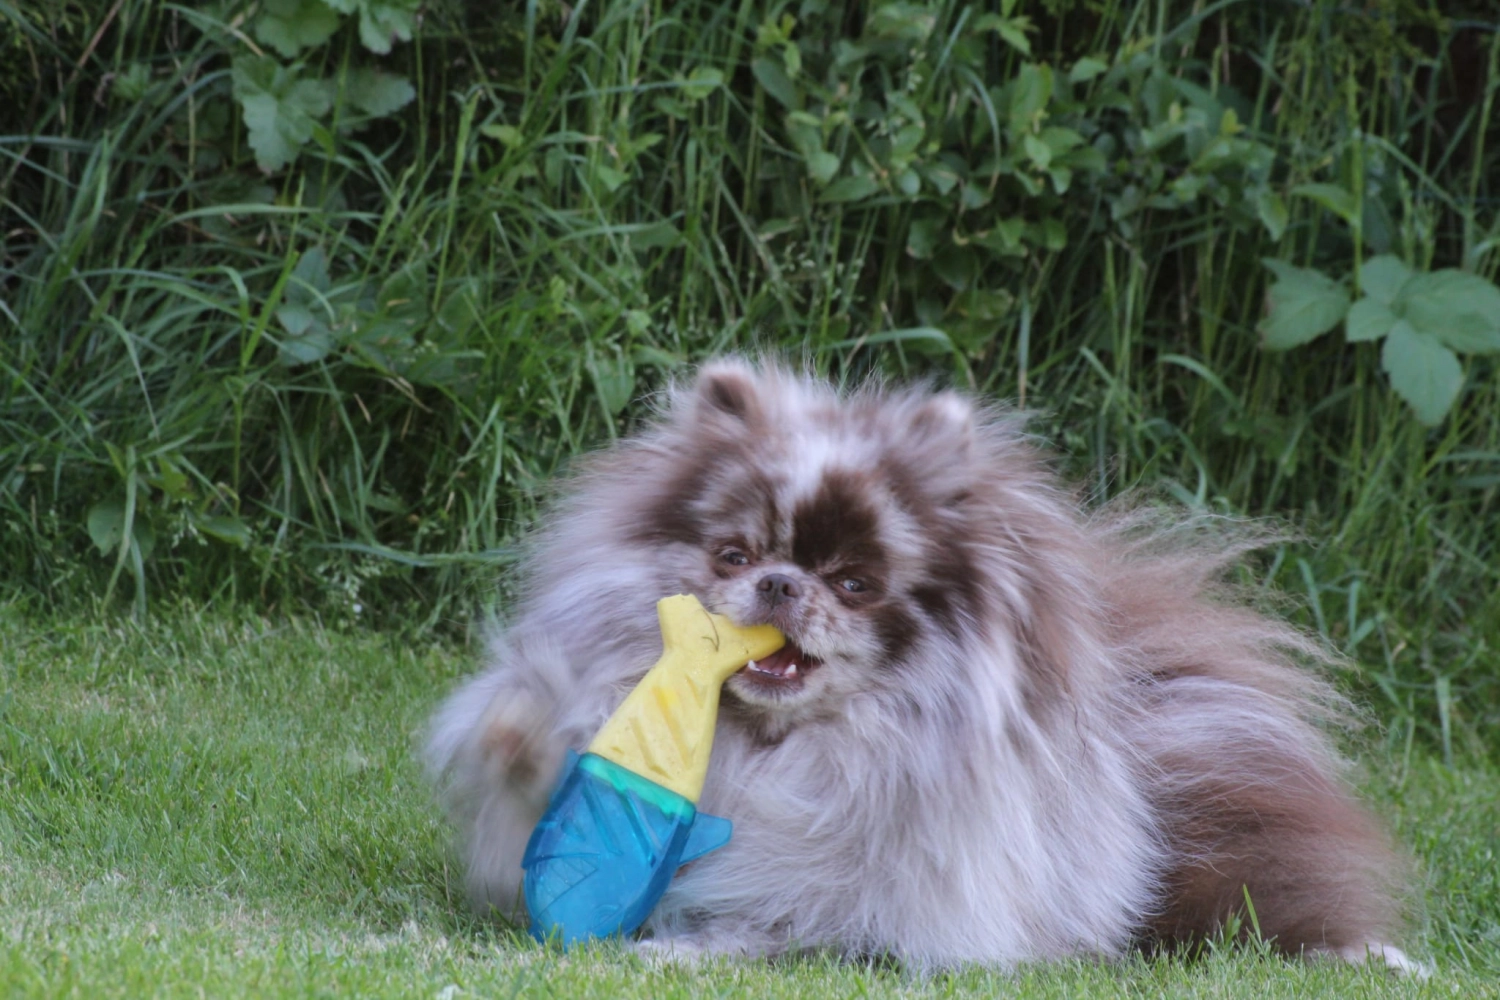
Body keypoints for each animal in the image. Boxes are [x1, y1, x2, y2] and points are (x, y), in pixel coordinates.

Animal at [426, 361, 1416, 977]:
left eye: (854, 584)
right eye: (735, 555)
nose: (781, 582)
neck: (777, 751)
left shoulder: (879, 912)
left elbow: (782, 923)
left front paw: (685, 947)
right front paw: (518, 732)